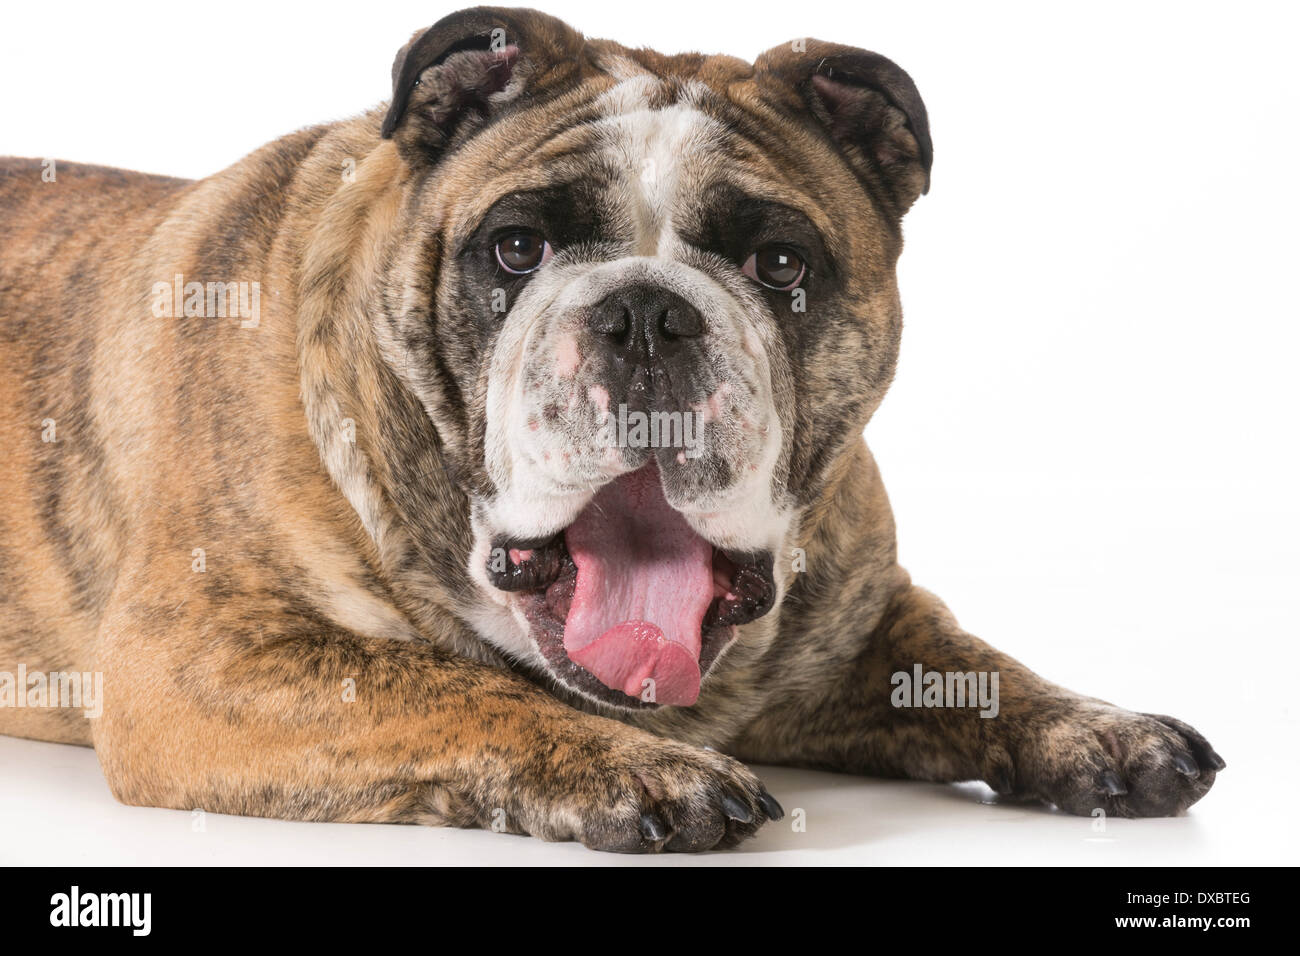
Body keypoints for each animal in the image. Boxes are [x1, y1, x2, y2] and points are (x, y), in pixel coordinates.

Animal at [0, 5, 1216, 853]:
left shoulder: (868, 617)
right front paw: (636, 767)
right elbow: (451, 688)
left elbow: (976, 665)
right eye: (516, 247)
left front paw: (1098, 725)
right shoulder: (201, 659)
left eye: (780, 263)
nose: (644, 312)